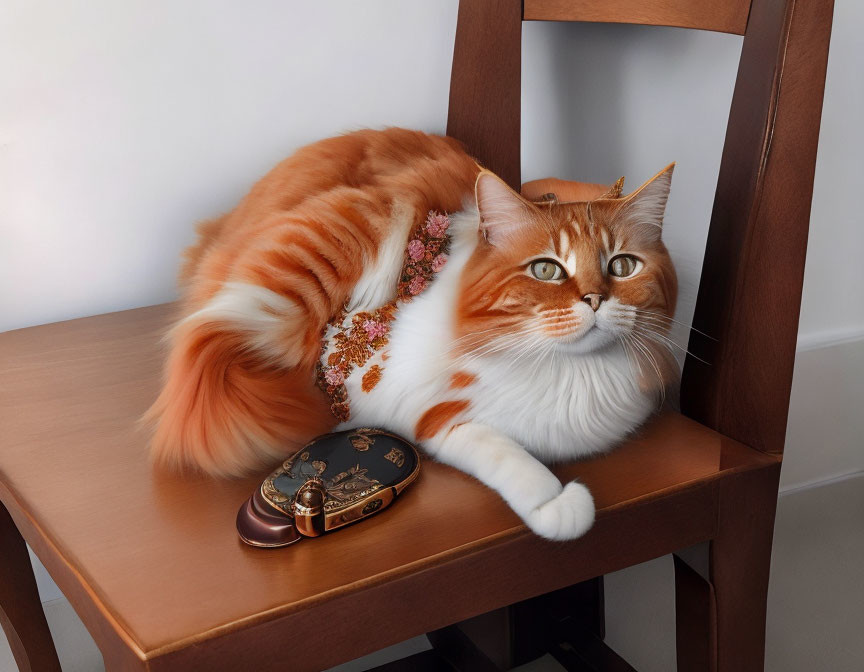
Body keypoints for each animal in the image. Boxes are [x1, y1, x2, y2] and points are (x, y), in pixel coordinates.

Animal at [147, 129, 676, 540]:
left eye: (622, 266)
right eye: (546, 269)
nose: (594, 299)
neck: (571, 375)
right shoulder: (425, 416)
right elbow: (508, 456)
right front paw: (557, 503)